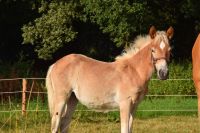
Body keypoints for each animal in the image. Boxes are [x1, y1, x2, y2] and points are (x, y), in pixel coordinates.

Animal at [45, 25, 173, 132]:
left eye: (169, 50)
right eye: (153, 49)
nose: (163, 73)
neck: (134, 71)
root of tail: (55, 64)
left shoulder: (134, 106)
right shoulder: (125, 104)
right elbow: (124, 129)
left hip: (72, 99)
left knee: (64, 123)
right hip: (61, 98)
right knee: (55, 124)